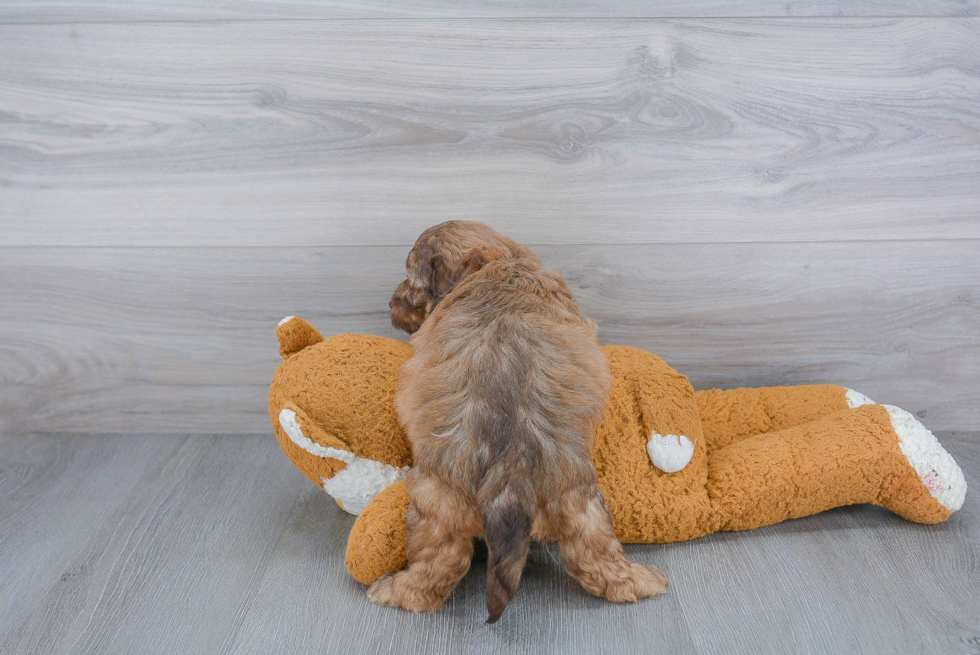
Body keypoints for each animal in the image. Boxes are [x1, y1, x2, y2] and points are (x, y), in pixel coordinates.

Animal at [372, 222, 668, 624]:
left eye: (411, 281)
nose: (391, 303)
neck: (501, 262)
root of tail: (513, 461)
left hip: (436, 503)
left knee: (436, 565)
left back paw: (400, 591)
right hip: (578, 500)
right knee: (598, 553)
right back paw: (635, 582)